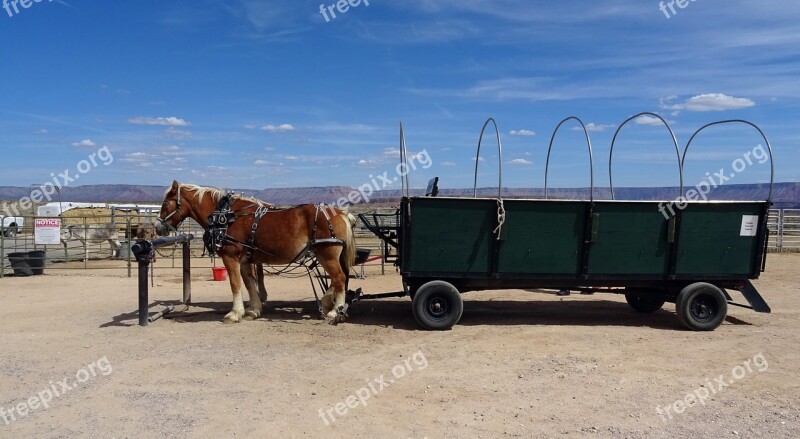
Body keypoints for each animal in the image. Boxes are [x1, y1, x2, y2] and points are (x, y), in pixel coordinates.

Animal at [155, 180, 354, 324]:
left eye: (165, 203)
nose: (157, 227)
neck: (226, 216)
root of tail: (340, 213)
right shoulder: (245, 260)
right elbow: (249, 282)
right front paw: (253, 309)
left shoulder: (230, 257)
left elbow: (235, 284)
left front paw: (234, 313)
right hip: (323, 255)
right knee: (338, 279)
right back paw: (328, 303)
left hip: (327, 254)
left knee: (339, 278)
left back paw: (336, 311)